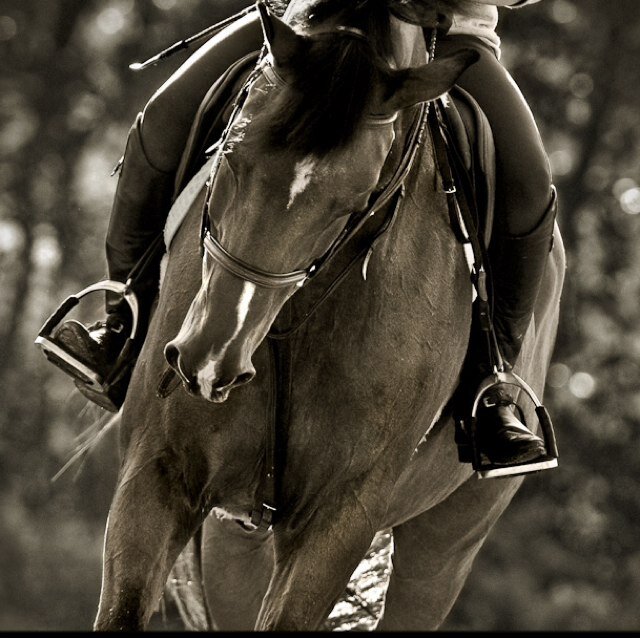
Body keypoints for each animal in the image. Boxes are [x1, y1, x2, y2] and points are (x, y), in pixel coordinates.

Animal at [93, 0, 565, 631]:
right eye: (232, 155)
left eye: (351, 203)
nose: (210, 359)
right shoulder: (157, 473)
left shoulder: (338, 518)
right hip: (236, 540)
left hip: (445, 547)